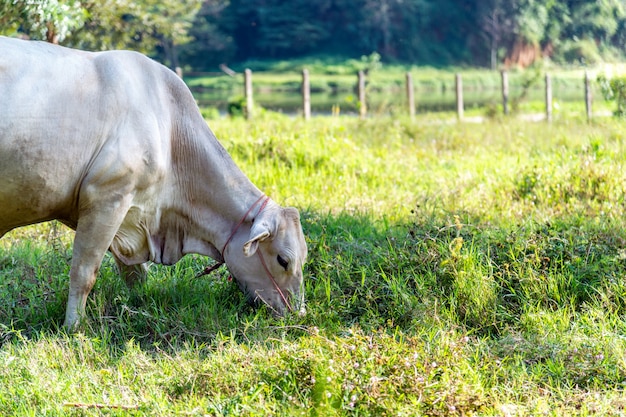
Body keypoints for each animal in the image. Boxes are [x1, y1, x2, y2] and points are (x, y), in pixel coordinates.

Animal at [0, 36, 308, 328]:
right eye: (283, 260)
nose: (299, 313)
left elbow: (136, 275)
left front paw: (137, 306)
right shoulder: (107, 197)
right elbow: (84, 272)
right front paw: (73, 326)